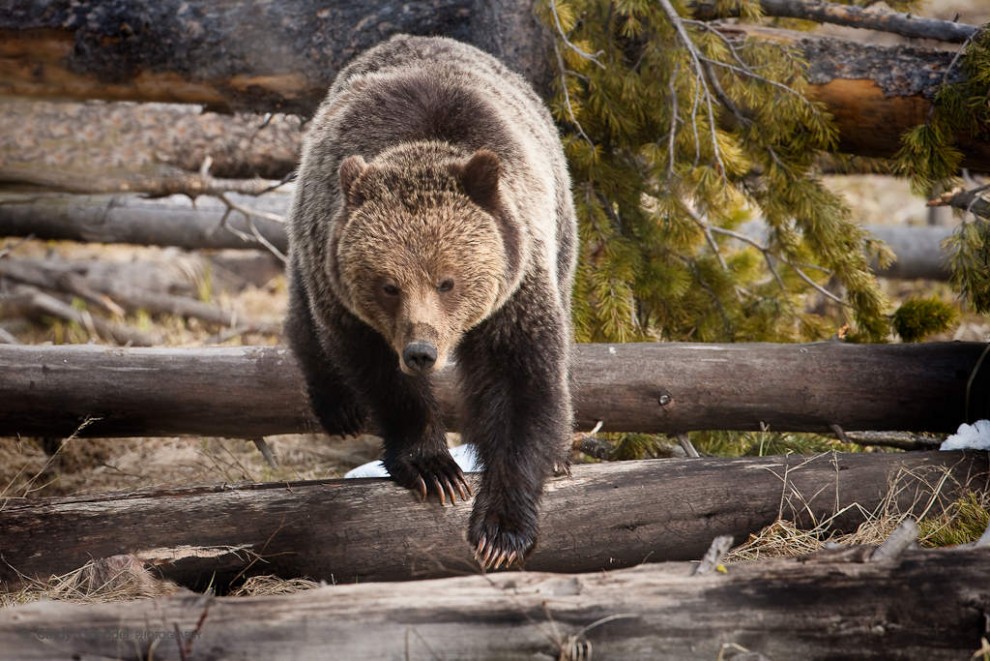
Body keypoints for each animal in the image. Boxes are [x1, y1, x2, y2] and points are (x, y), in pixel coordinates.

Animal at [286, 33, 576, 568]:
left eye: (448, 281)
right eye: (388, 284)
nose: (421, 352)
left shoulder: (516, 286)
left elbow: (523, 378)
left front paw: (502, 529)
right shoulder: (346, 295)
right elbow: (379, 376)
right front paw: (434, 470)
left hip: (561, 227)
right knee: (305, 319)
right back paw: (338, 406)